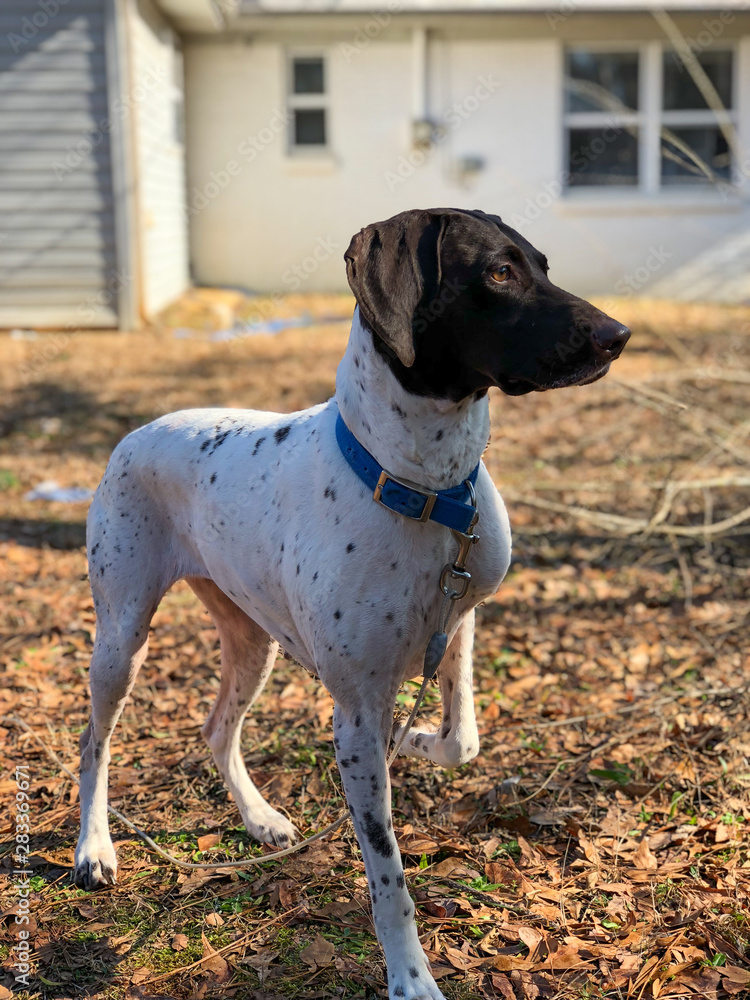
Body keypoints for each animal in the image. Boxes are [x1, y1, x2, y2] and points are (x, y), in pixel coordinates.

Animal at [75, 207, 628, 996]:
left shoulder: (458, 622)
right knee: (94, 741)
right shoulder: (356, 715)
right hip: (121, 639)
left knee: (216, 729)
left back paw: (259, 818)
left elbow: (462, 739)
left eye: (543, 265)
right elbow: (388, 876)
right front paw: (412, 978)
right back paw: (94, 847)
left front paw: (418, 738)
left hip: (253, 642)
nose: (619, 334)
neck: (424, 489)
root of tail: (137, 432)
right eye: (498, 272)